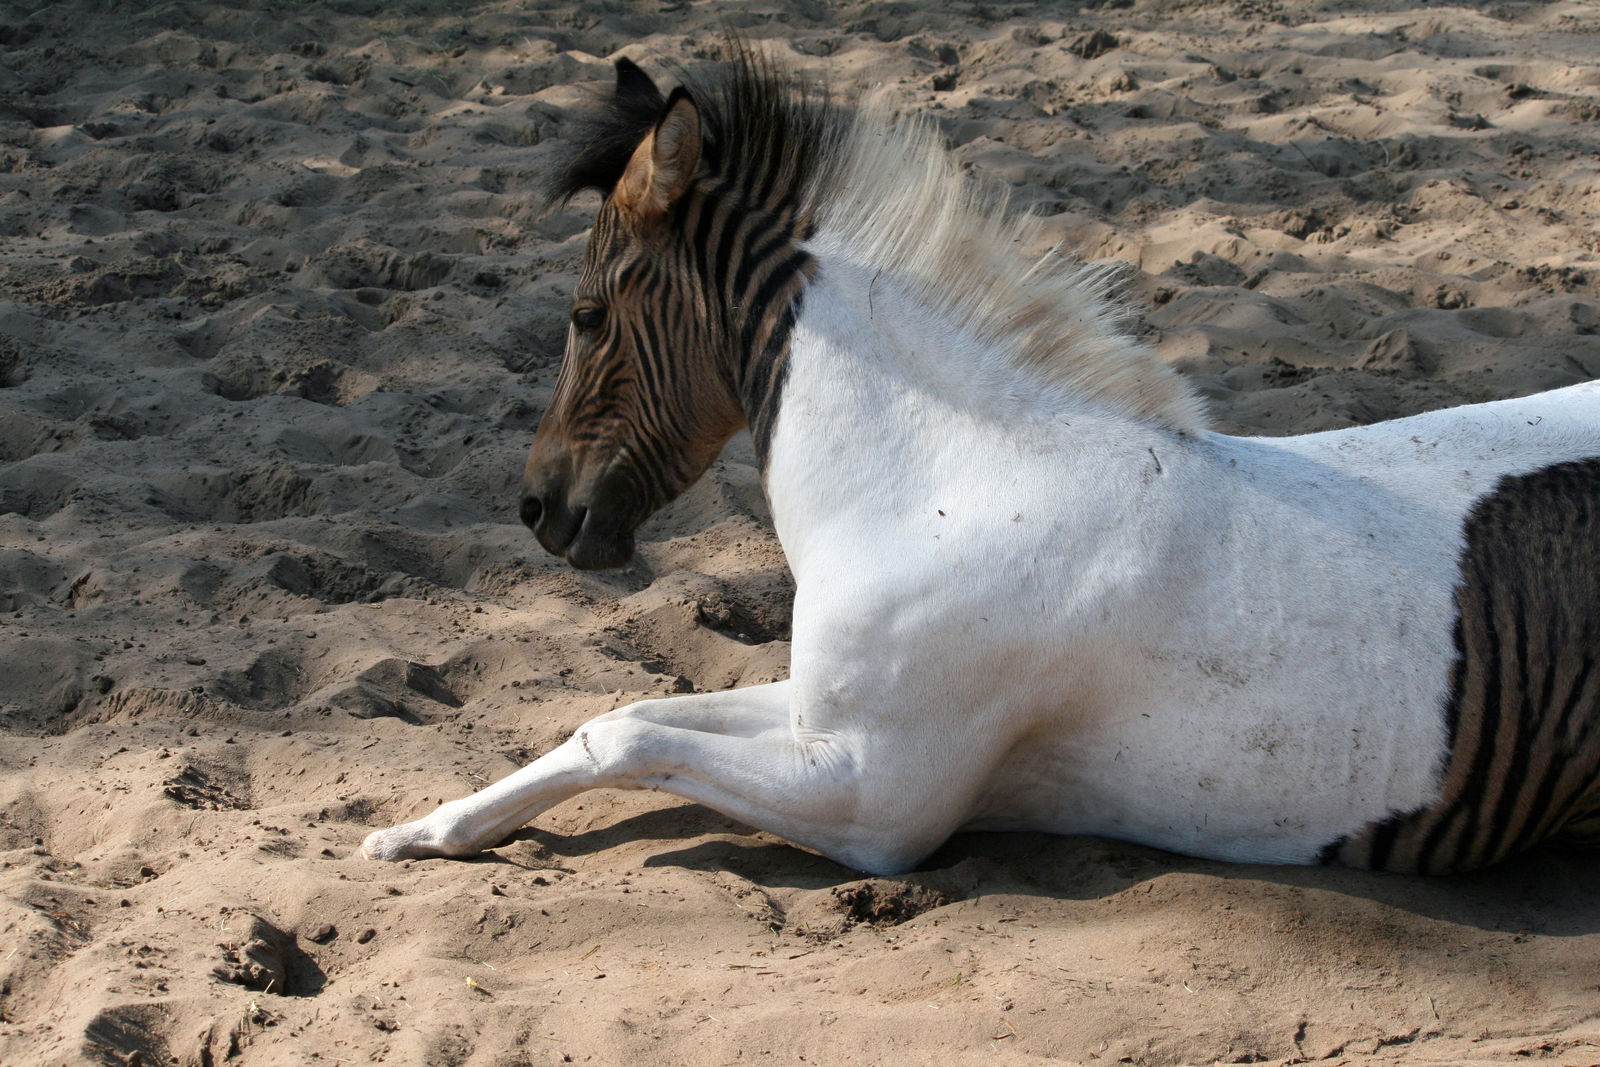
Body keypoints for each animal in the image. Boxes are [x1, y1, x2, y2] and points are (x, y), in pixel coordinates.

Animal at [360, 49, 1600, 876]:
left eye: (585, 316)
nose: (538, 509)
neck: (945, 484)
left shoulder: (874, 797)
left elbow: (628, 731)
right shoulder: (815, 714)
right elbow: (609, 715)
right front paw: (418, 830)